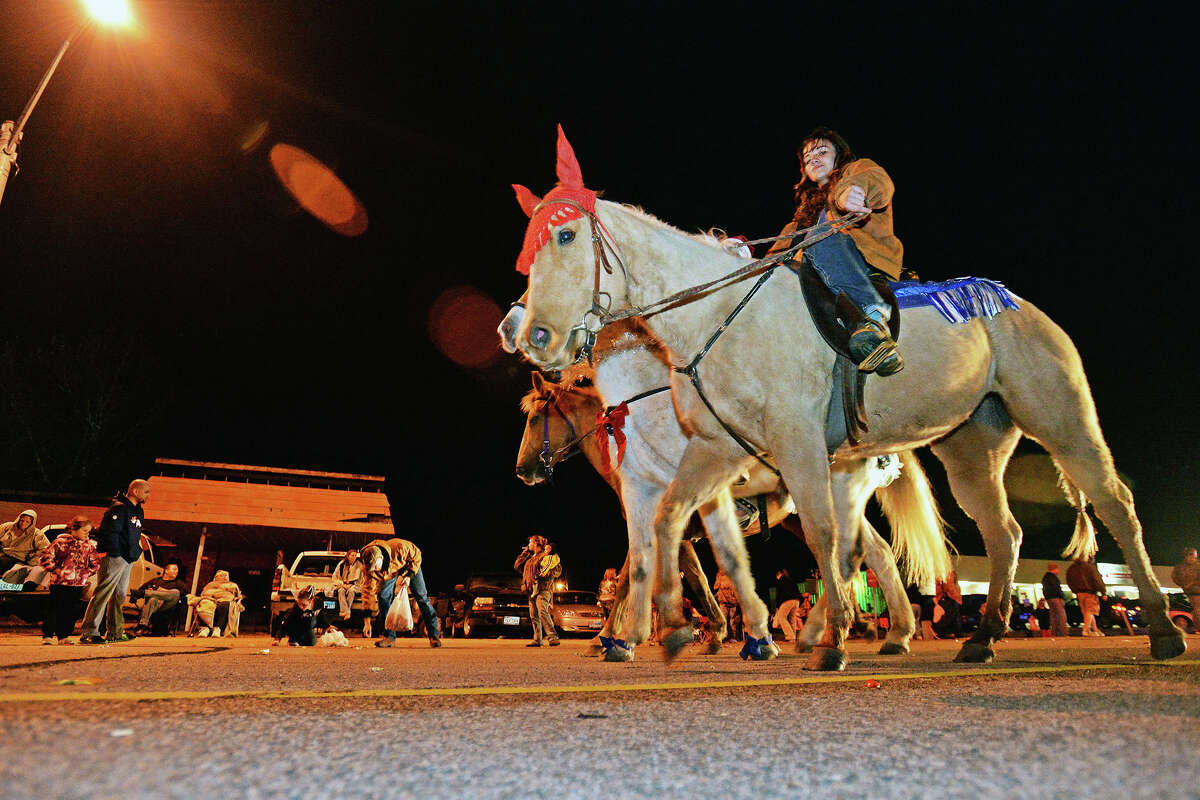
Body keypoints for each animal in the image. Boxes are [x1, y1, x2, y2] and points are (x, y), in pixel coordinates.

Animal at [511, 128, 1185, 671]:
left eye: (565, 236)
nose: (529, 333)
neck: (716, 317)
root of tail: (1009, 300)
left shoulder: (797, 445)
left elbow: (816, 535)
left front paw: (821, 642)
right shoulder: (713, 452)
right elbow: (669, 528)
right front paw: (674, 632)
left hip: (1060, 417)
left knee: (1113, 502)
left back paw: (1161, 630)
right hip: (971, 447)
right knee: (1000, 533)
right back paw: (980, 636)